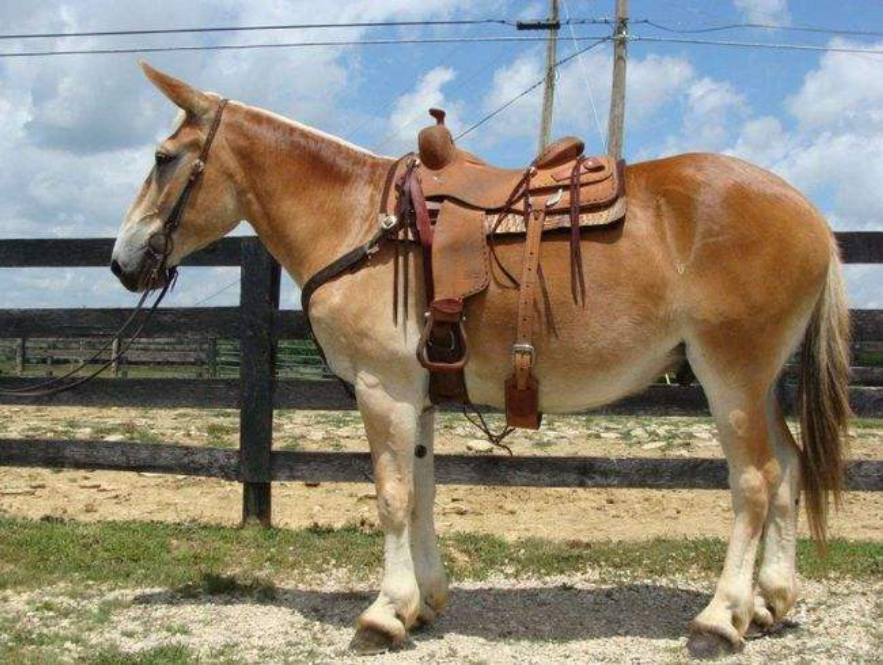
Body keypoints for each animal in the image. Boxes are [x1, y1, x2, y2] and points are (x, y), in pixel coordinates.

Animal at [112, 62, 850, 659]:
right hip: (759, 383)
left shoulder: (382, 390)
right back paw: (768, 603)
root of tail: (810, 214)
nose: (122, 261)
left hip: (731, 376)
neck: (360, 223)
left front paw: (383, 614)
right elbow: (422, 489)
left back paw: (720, 619)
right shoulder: (417, 395)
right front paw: (422, 602)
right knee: (788, 469)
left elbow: (391, 495)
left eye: (164, 157)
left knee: (754, 481)